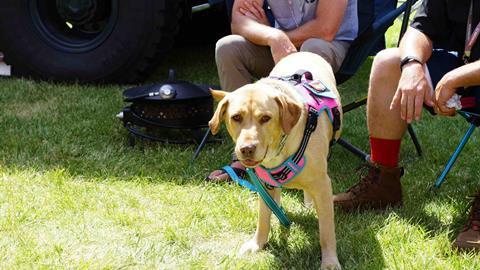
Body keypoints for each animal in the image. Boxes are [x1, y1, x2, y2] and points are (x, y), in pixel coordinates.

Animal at [210, 51, 342, 268]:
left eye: (265, 118)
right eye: (236, 117)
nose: (246, 149)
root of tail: (303, 52)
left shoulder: (323, 184)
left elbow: (327, 230)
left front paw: (330, 261)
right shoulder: (264, 184)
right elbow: (263, 217)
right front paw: (258, 244)